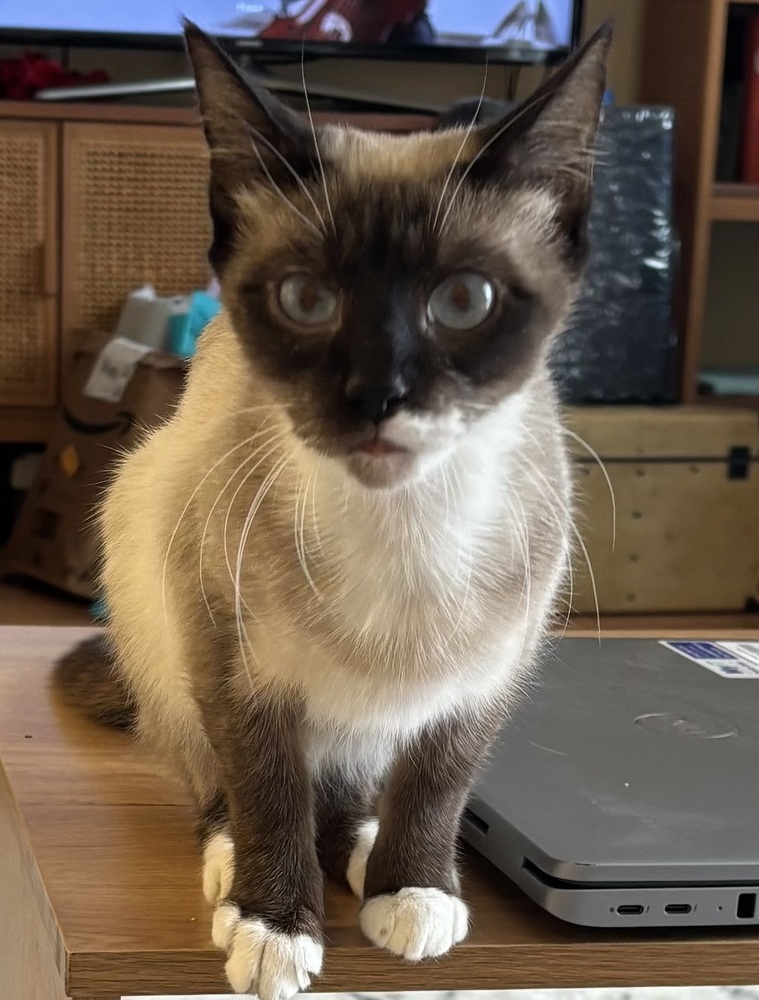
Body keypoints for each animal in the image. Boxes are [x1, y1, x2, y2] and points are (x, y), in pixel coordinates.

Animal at [55, 21, 612, 1000]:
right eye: (306, 300)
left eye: (463, 301)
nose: (375, 396)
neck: (404, 530)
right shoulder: (232, 658)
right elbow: (265, 785)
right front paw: (274, 924)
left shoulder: (489, 673)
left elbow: (438, 782)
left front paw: (411, 887)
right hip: (146, 540)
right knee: (219, 774)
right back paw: (234, 858)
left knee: (351, 776)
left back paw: (363, 852)